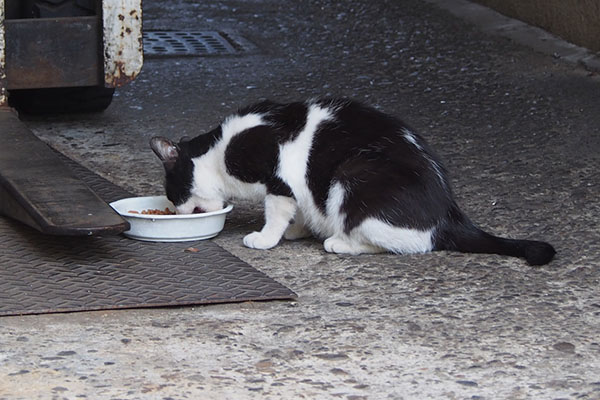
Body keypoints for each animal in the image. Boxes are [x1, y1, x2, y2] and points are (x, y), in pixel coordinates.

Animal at [151, 97, 556, 266]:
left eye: (173, 193)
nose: (176, 210)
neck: (222, 149)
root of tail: (450, 213)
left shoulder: (278, 179)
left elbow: (277, 211)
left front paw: (266, 238)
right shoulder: (300, 189)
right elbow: (300, 209)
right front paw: (296, 230)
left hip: (352, 176)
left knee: (408, 244)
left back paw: (340, 243)